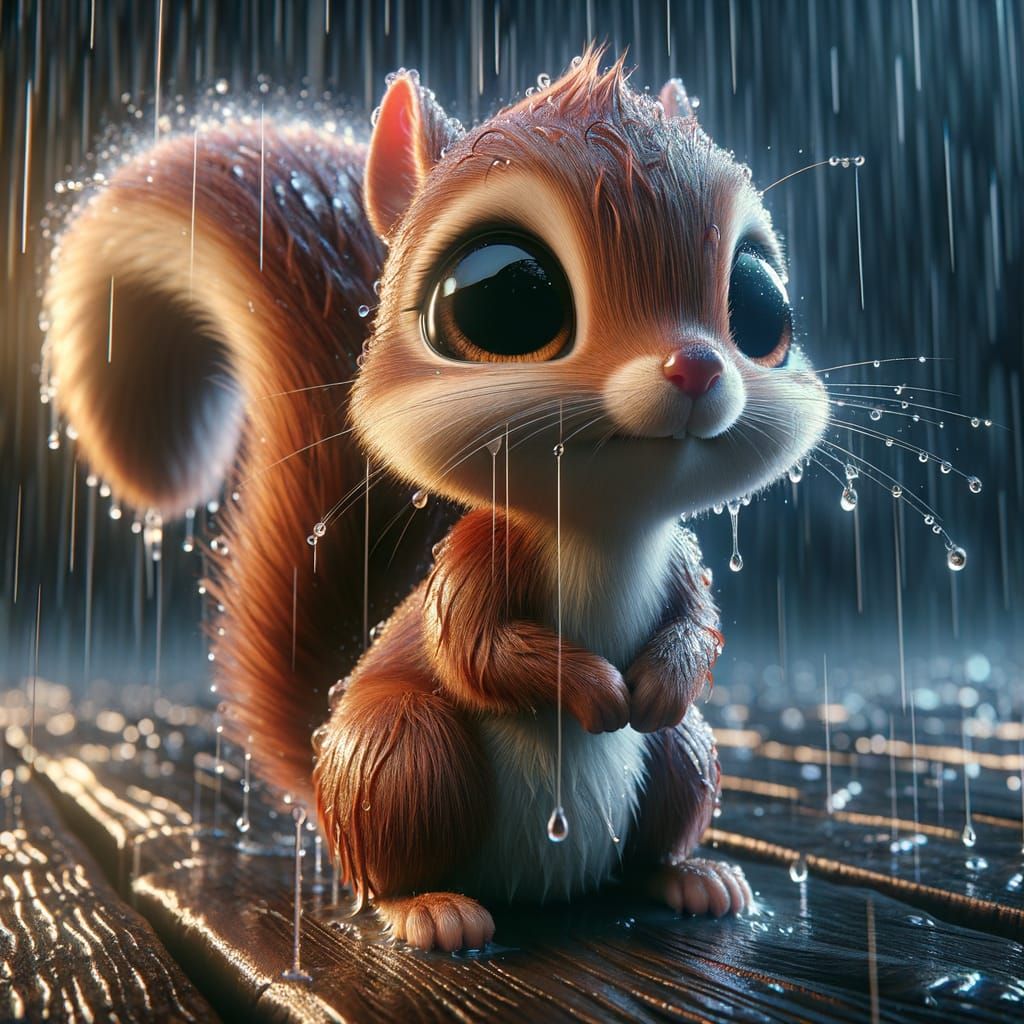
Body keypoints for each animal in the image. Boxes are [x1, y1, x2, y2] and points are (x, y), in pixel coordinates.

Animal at [42, 47, 829, 951]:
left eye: (763, 303)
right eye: (503, 297)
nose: (696, 367)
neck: (607, 528)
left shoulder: (681, 558)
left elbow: (699, 625)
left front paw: (665, 682)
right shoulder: (476, 561)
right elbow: (477, 651)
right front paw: (597, 689)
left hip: (680, 763)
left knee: (665, 801)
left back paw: (693, 876)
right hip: (400, 760)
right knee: (388, 850)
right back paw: (430, 908)